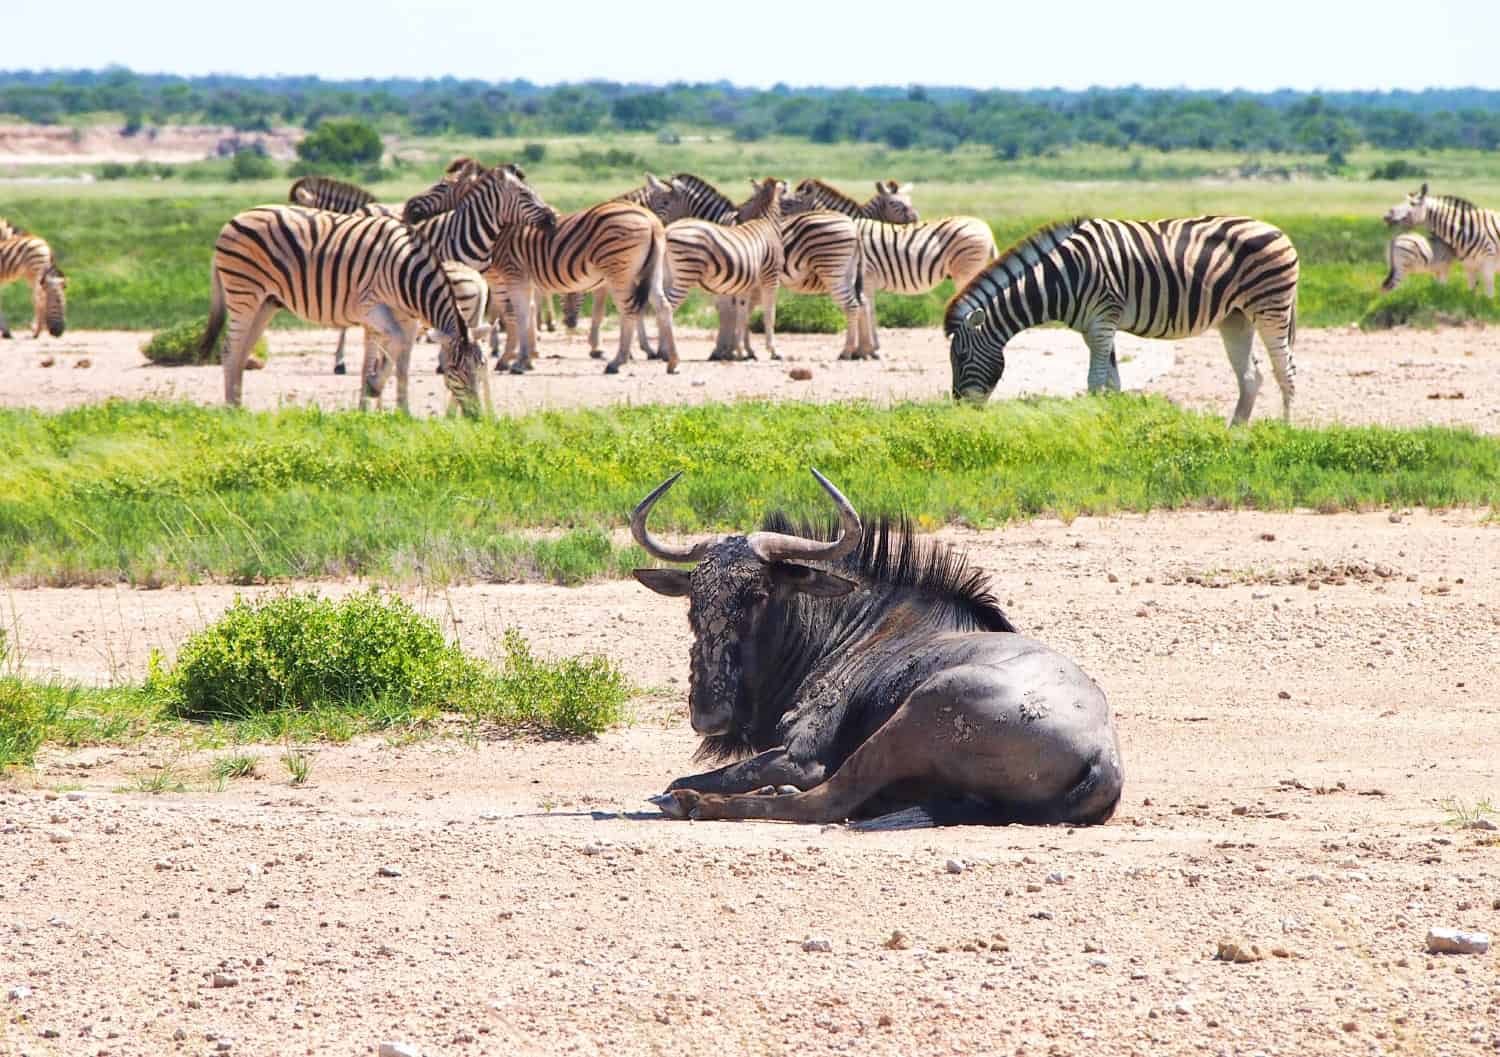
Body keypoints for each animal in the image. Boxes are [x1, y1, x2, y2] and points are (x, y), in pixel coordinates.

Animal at [202, 206, 486, 416]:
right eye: (454, 370)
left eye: (481, 366)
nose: (476, 416)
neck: (407, 273)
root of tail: (233, 220)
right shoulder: (370, 307)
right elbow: (393, 344)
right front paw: (374, 387)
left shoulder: (408, 318)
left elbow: (402, 361)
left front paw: (402, 412)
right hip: (244, 293)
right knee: (230, 349)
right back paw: (230, 411)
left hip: (266, 302)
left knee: (242, 350)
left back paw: (238, 407)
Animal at [486, 199, 675, 377]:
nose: (570, 322)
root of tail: (650, 219)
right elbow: (527, 310)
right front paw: (527, 356)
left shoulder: (508, 275)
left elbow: (515, 314)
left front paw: (515, 359)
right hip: (650, 271)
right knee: (662, 306)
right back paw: (672, 360)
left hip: (618, 272)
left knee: (630, 310)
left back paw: (618, 361)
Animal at [948, 214, 1302, 425]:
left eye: (961, 356)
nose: (960, 409)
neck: (1061, 276)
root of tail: (1279, 231)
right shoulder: (1095, 326)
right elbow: (1112, 382)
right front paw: (1113, 423)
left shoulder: (1104, 318)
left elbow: (1094, 382)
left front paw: (1092, 422)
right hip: (1235, 317)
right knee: (1251, 377)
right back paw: (1234, 434)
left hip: (1271, 307)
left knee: (1284, 371)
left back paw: (1283, 432)